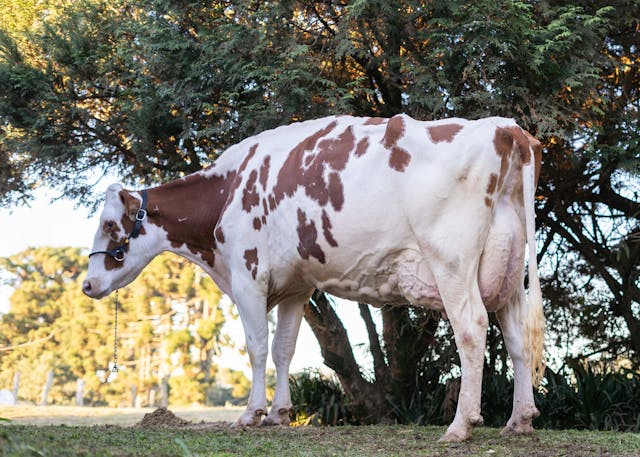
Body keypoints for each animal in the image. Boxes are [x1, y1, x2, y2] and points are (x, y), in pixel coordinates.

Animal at [82, 113, 544, 438]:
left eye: (108, 224)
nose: (87, 284)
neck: (228, 190)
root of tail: (504, 127)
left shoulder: (247, 277)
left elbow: (257, 347)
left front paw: (251, 414)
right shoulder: (296, 287)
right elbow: (284, 348)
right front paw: (280, 413)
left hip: (452, 261)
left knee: (472, 328)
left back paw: (460, 426)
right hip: (507, 269)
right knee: (517, 338)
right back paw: (519, 420)